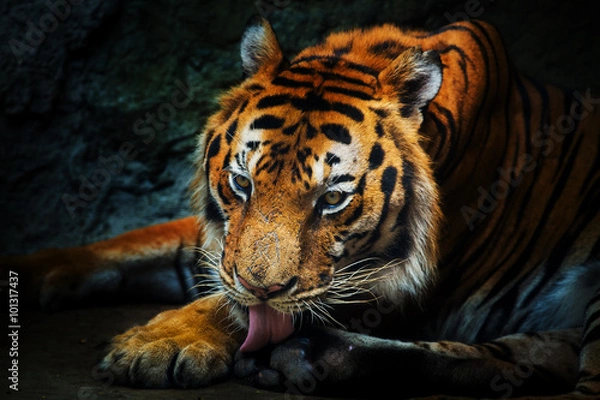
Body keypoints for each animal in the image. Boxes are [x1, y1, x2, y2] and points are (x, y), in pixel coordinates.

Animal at [4, 14, 600, 396]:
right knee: (538, 355)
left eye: (332, 199)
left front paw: (157, 344)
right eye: (241, 184)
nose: (263, 287)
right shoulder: (219, 244)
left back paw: (307, 357)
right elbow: (134, 245)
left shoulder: (395, 284)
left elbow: (237, 306)